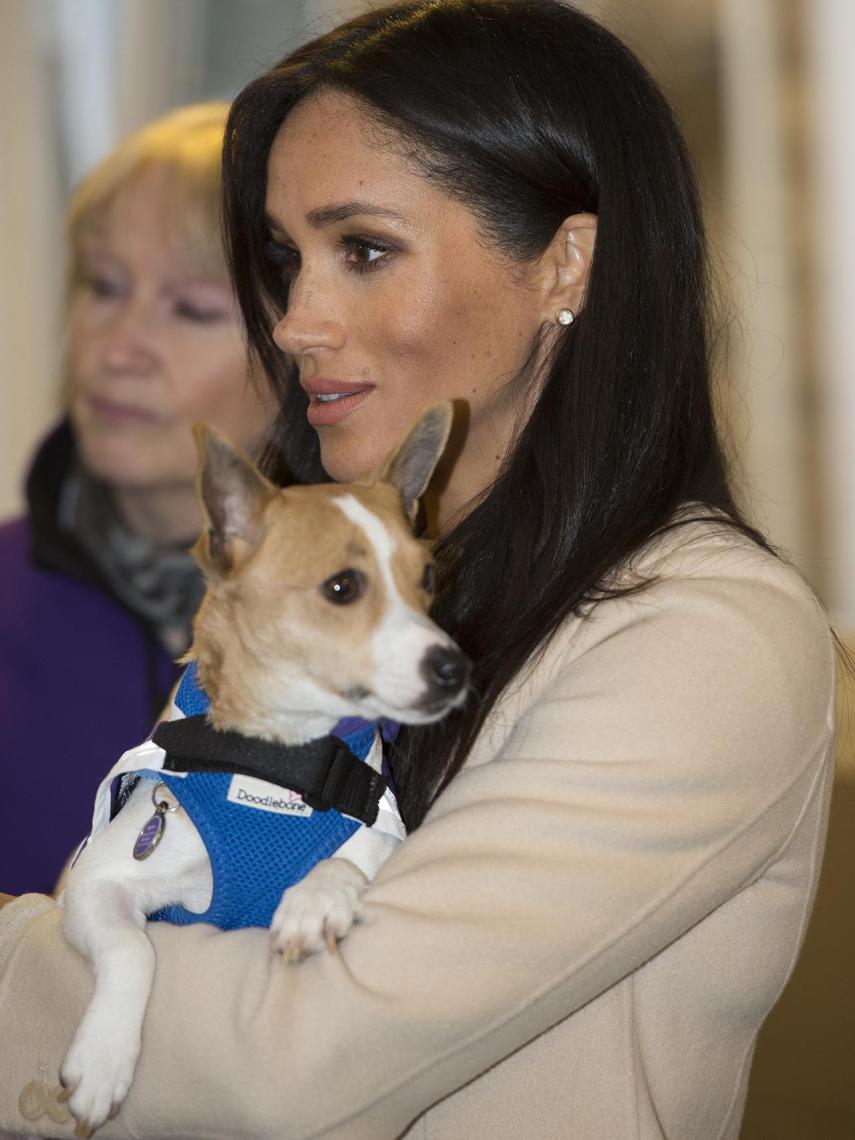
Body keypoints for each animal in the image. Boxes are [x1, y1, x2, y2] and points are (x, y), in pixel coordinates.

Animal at [60, 405, 471, 1135]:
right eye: (342, 587)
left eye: (426, 579)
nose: (454, 668)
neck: (284, 762)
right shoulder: (95, 884)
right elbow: (134, 949)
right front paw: (103, 1058)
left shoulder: (385, 837)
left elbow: (348, 858)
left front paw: (312, 900)